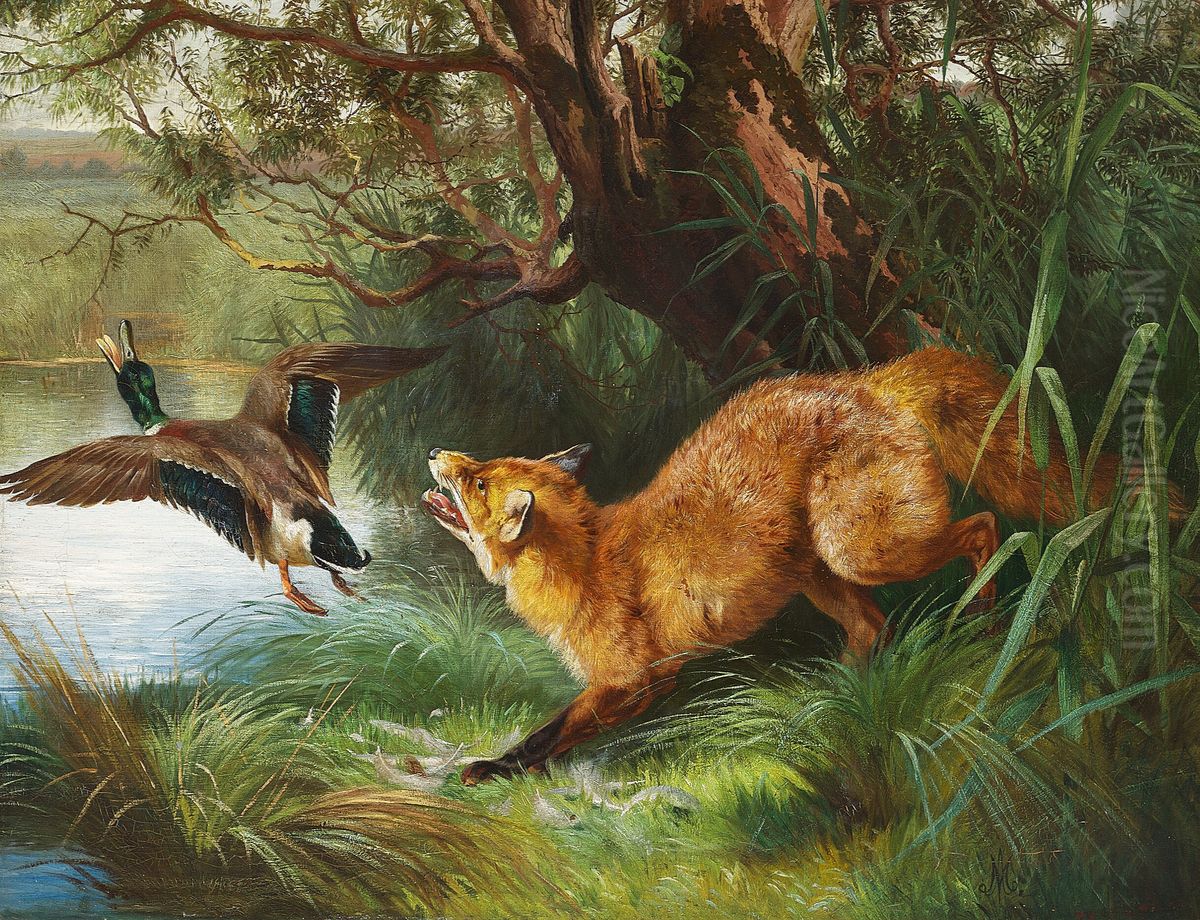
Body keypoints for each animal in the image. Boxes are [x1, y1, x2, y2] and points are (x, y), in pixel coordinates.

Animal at [422, 346, 1168, 785]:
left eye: (478, 481)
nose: (435, 454)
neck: (583, 563)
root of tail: (866, 383)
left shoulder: (636, 679)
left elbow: (552, 732)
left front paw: (496, 769)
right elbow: (555, 728)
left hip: (861, 551)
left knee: (983, 529)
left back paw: (981, 622)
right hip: (815, 573)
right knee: (872, 627)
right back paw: (833, 703)